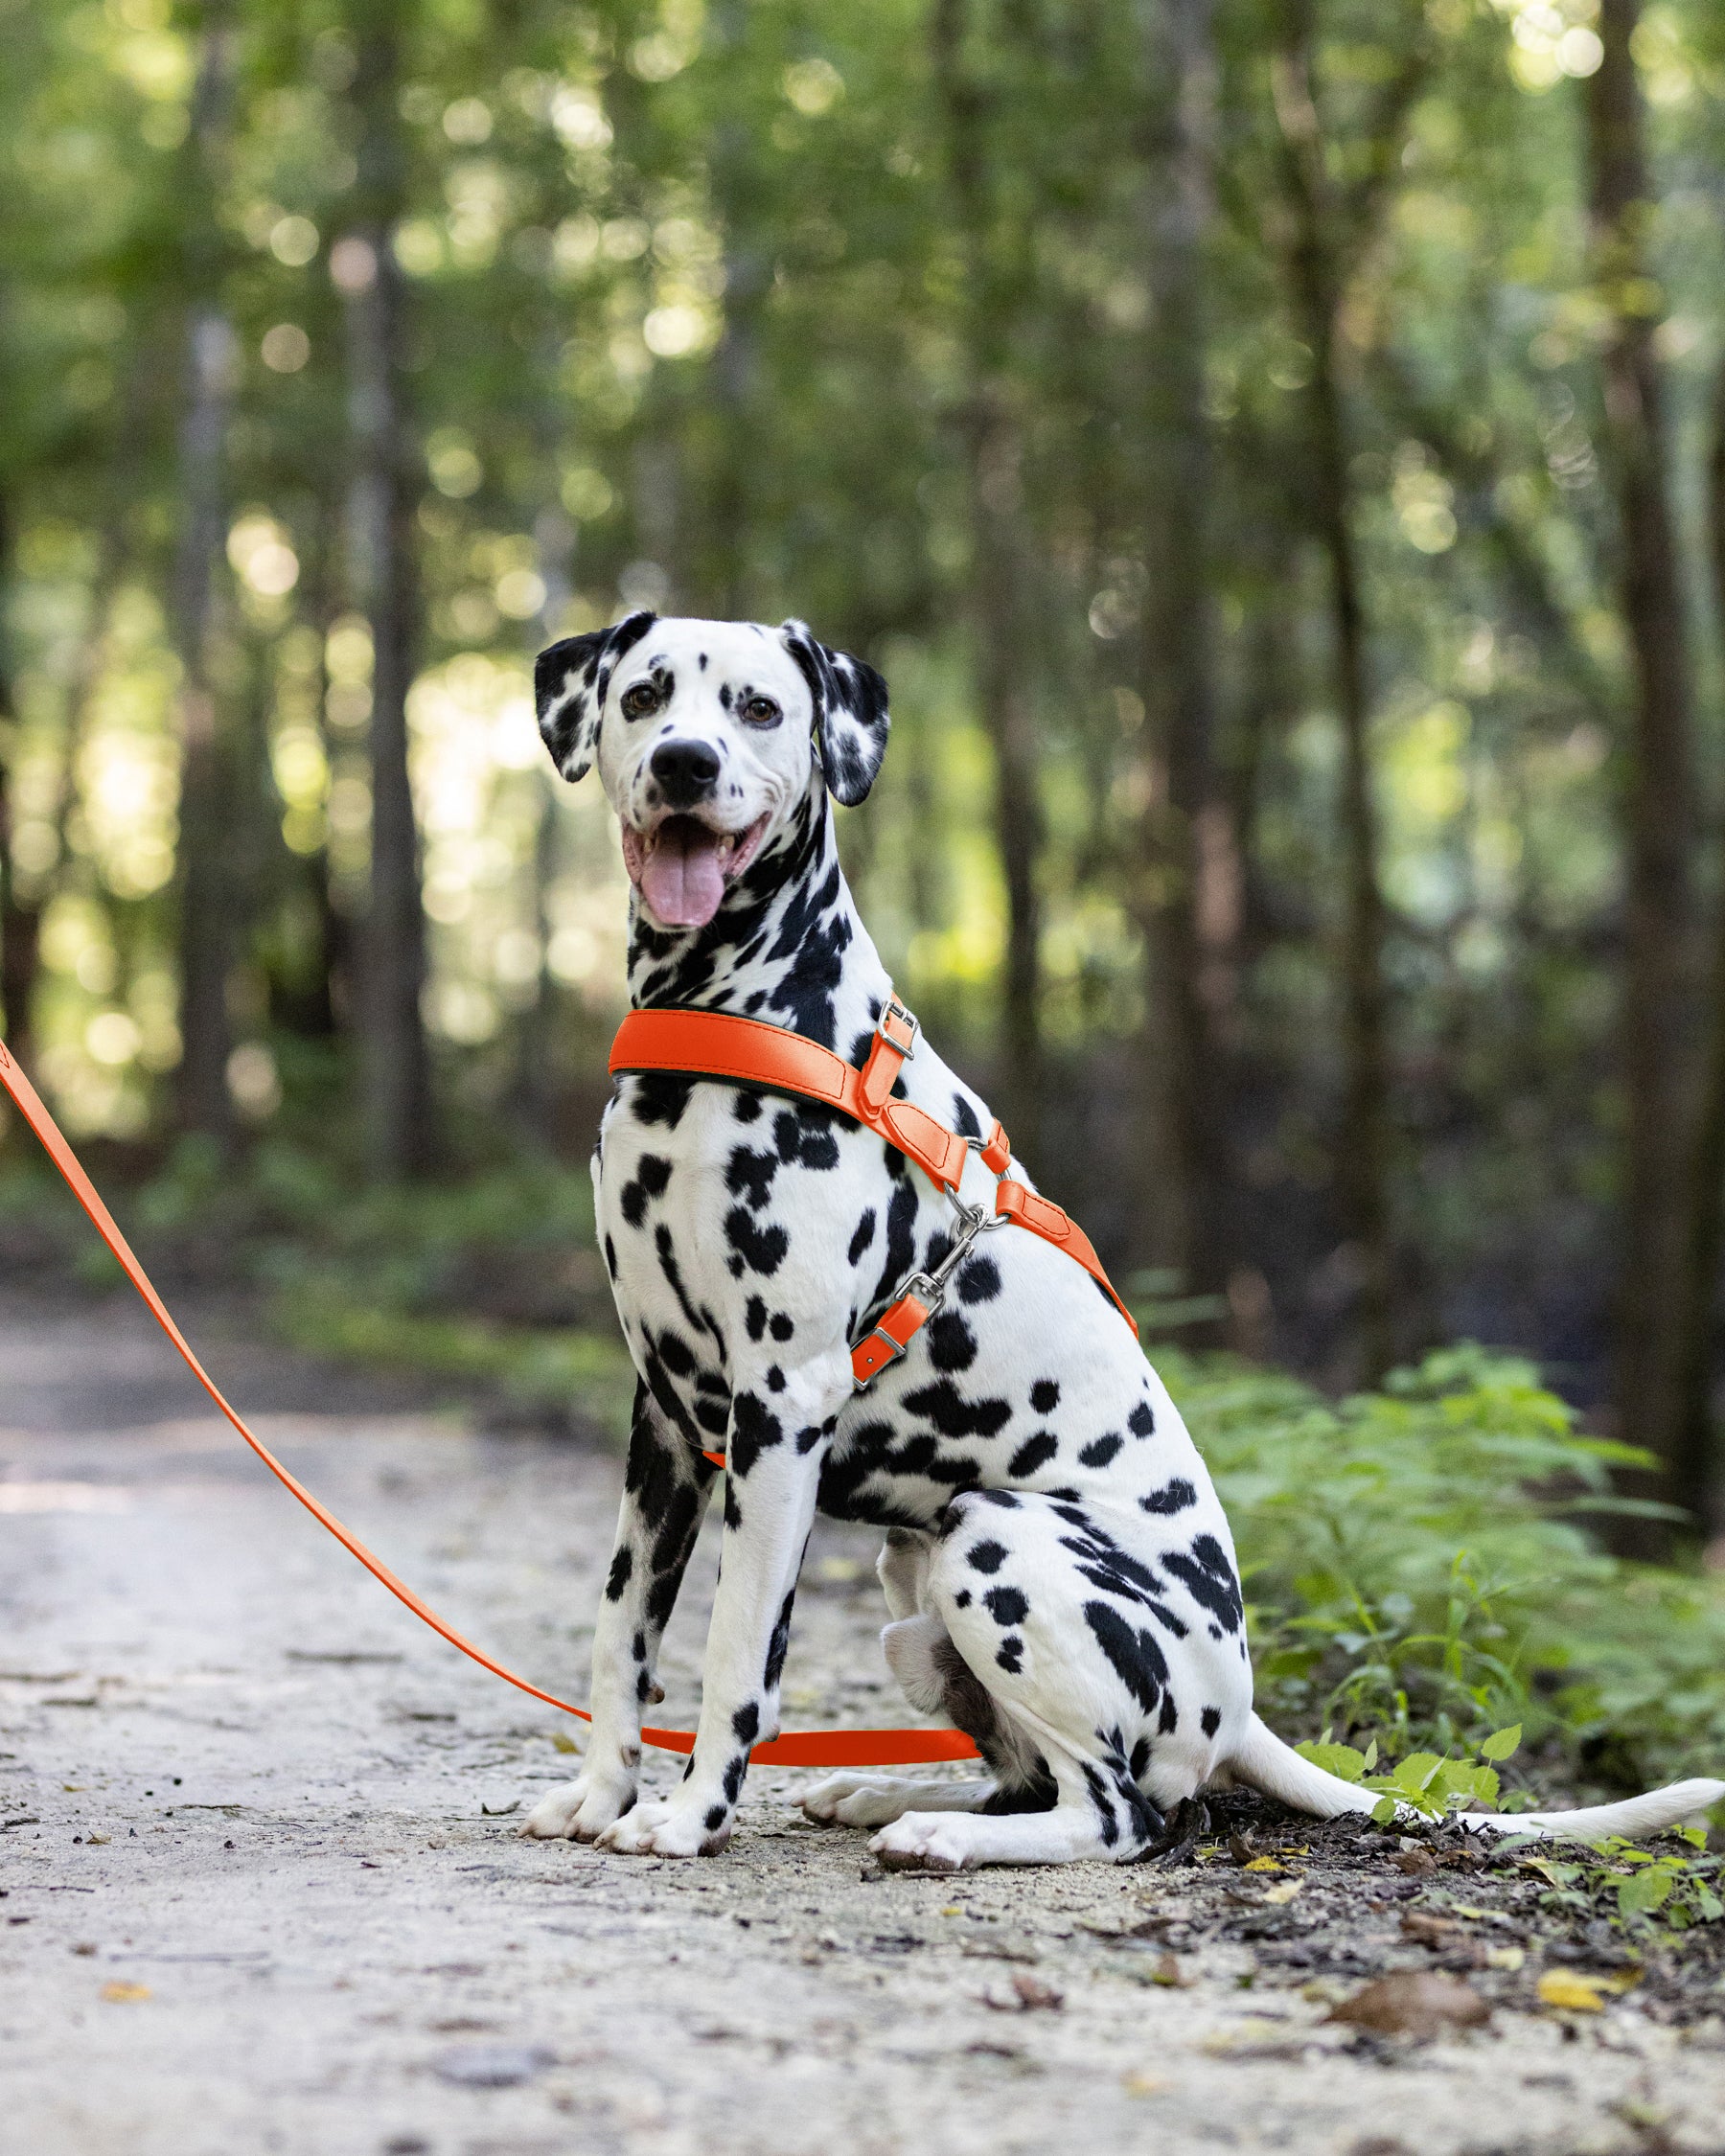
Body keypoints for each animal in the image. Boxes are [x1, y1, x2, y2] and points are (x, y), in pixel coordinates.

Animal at [519, 612, 1725, 1871]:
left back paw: (939, 1832)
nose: (684, 765)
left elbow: (735, 1653)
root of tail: (1240, 1709)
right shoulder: (665, 1417)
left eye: (757, 709)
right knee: (1025, 1779)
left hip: (995, 1541)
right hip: (915, 1581)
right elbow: (620, 1631)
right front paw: (599, 1794)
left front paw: (689, 1815)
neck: (729, 1019)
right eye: (646, 695)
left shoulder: (779, 1409)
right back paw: (893, 1795)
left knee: (1117, 1815)